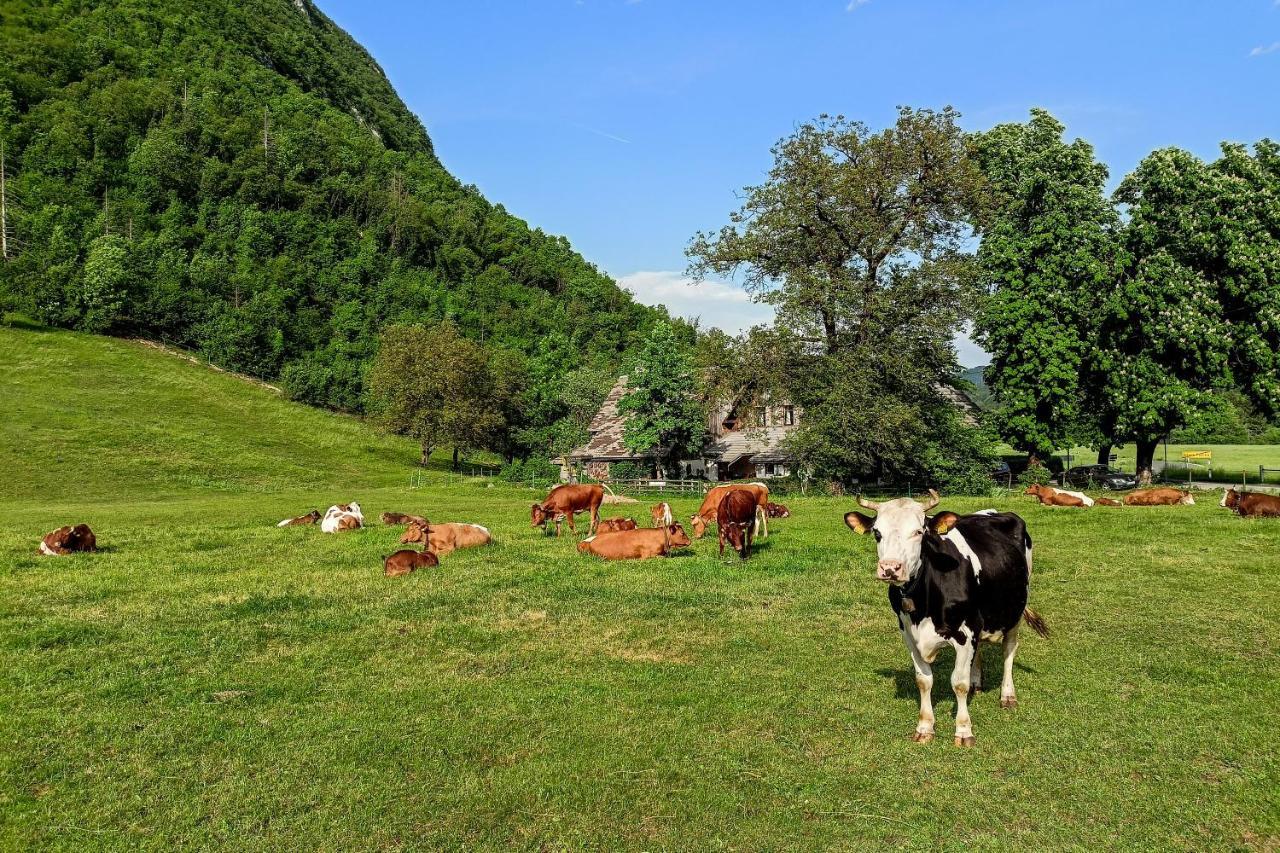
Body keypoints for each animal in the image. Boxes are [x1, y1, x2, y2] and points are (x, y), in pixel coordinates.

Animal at [844, 491, 1044, 742]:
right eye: (877, 533)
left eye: (919, 532)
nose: (890, 568)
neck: (922, 602)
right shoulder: (909, 635)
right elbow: (923, 681)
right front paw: (924, 727)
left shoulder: (965, 632)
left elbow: (959, 683)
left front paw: (964, 730)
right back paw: (977, 682)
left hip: (1014, 611)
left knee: (1009, 650)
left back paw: (1007, 695)